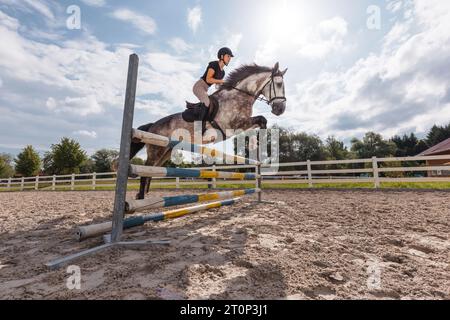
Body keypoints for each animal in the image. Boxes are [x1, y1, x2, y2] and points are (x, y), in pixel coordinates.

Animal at [129, 61, 288, 199]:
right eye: (279, 84)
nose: (280, 109)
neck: (239, 96)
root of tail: (152, 125)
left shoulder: (243, 123)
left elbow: (260, 121)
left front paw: (258, 142)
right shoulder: (233, 124)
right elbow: (261, 119)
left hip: (165, 152)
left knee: (151, 171)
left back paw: (142, 195)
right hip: (156, 150)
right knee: (145, 170)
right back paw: (140, 198)